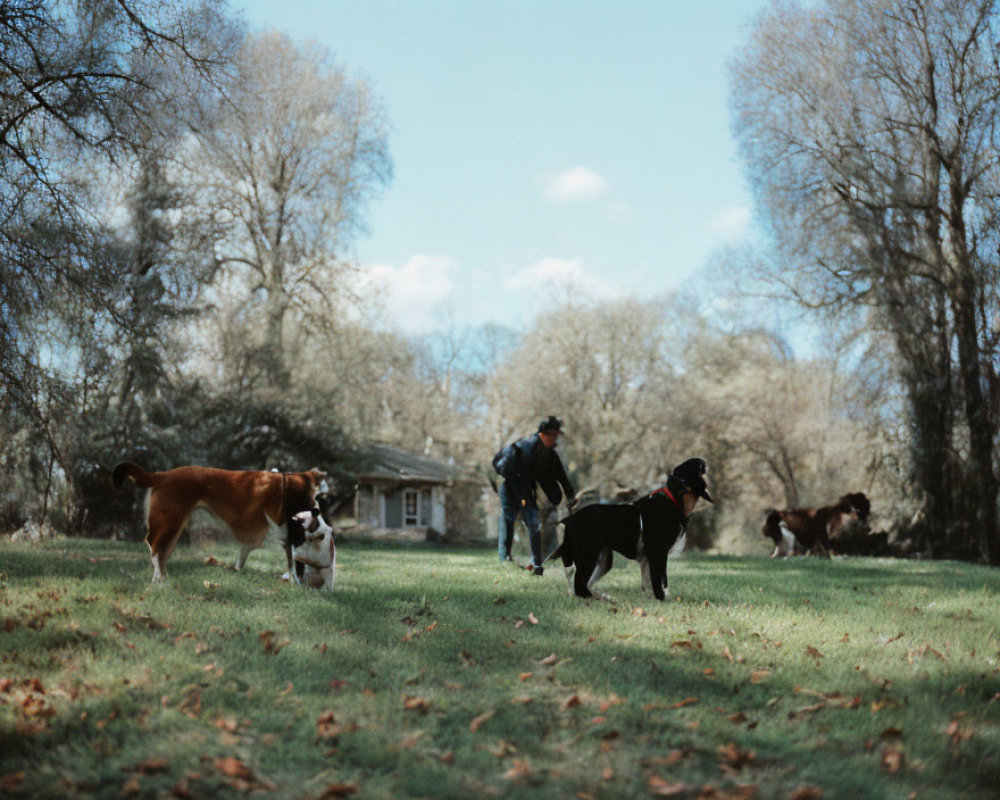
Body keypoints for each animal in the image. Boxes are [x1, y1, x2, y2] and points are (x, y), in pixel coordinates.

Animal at [110, 462, 328, 580]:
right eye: (316, 491)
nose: (318, 508)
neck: (286, 485)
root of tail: (162, 476)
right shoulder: (284, 530)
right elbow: (291, 559)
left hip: (175, 525)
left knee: (162, 553)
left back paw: (161, 578)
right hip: (169, 521)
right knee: (154, 547)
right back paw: (160, 577)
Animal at [548, 456, 712, 600]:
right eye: (694, 467)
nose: (701, 460)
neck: (674, 501)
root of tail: (570, 519)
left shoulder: (650, 557)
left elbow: (652, 583)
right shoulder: (658, 553)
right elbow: (659, 581)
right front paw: (662, 599)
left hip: (603, 560)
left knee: (584, 586)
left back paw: (603, 597)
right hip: (588, 556)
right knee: (579, 586)